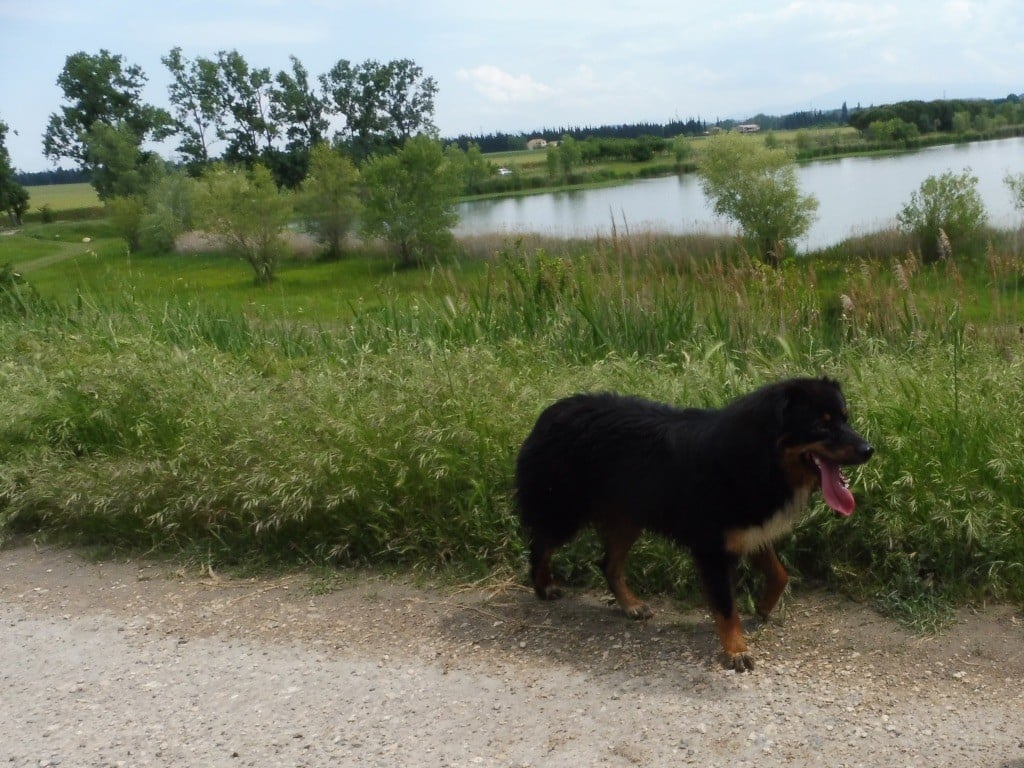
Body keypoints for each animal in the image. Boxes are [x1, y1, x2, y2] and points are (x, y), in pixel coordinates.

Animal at [514, 377, 873, 671]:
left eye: (845, 417)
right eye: (820, 426)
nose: (869, 450)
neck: (759, 456)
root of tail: (551, 412)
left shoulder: (750, 530)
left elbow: (780, 574)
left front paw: (763, 607)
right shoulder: (712, 547)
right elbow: (726, 607)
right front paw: (736, 650)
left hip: (627, 517)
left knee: (608, 563)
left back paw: (630, 605)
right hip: (565, 511)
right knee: (541, 544)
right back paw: (543, 586)